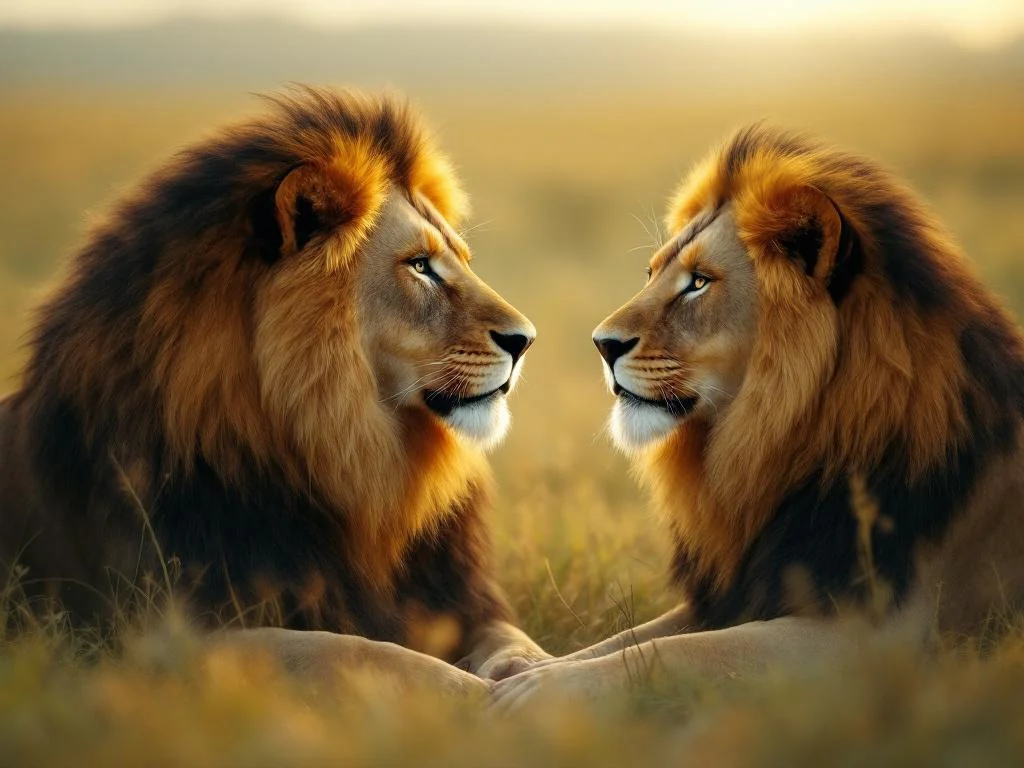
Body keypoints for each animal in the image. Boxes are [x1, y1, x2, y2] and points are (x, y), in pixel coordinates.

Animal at [0, 87, 546, 693]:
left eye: (461, 261)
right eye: (420, 266)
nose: (525, 339)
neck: (351, 464)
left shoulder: (463, 600)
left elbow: (514, 642)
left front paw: (537, 675)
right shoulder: (169, 636)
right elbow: (363, 652)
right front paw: (479, 694)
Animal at [491, 124, 1024, 709]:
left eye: (699, 282)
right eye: (652, 273)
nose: (602, 344)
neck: (775, 445)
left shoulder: (882, 636)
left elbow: (680, 651)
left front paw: (536, 689)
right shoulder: (740, 589)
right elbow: (628, 636)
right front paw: (523, 664)